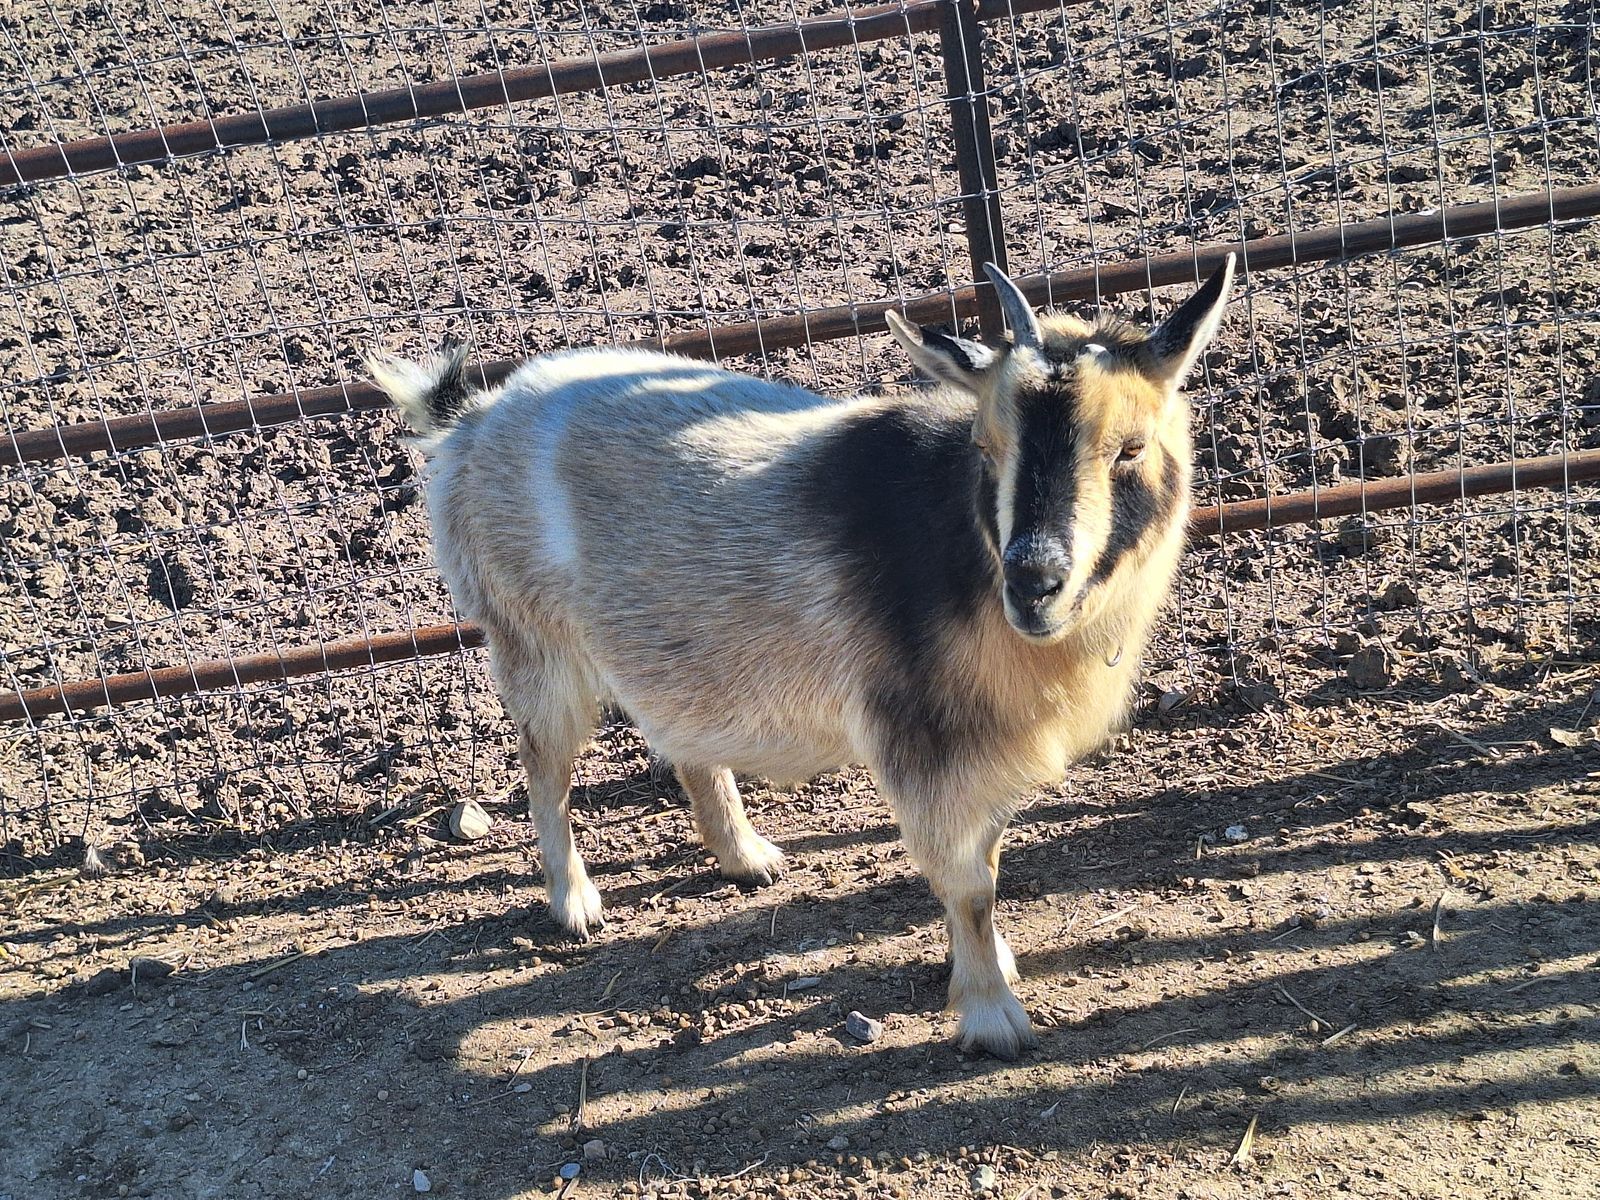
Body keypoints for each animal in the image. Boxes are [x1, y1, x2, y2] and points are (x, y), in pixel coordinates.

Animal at [369, 256, 1234, 1058]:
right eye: (987, 447)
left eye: (1130, 448)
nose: (1034, 583)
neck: (966, 549)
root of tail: (475, 418)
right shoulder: (925, 739)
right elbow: (968, 883)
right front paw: (992, 1017)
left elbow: (989, 856)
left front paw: (997, 966)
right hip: (533, 638)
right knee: (545, 766)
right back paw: (574, 902)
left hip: (670, 640)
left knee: (681, 734)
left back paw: (745, 856)